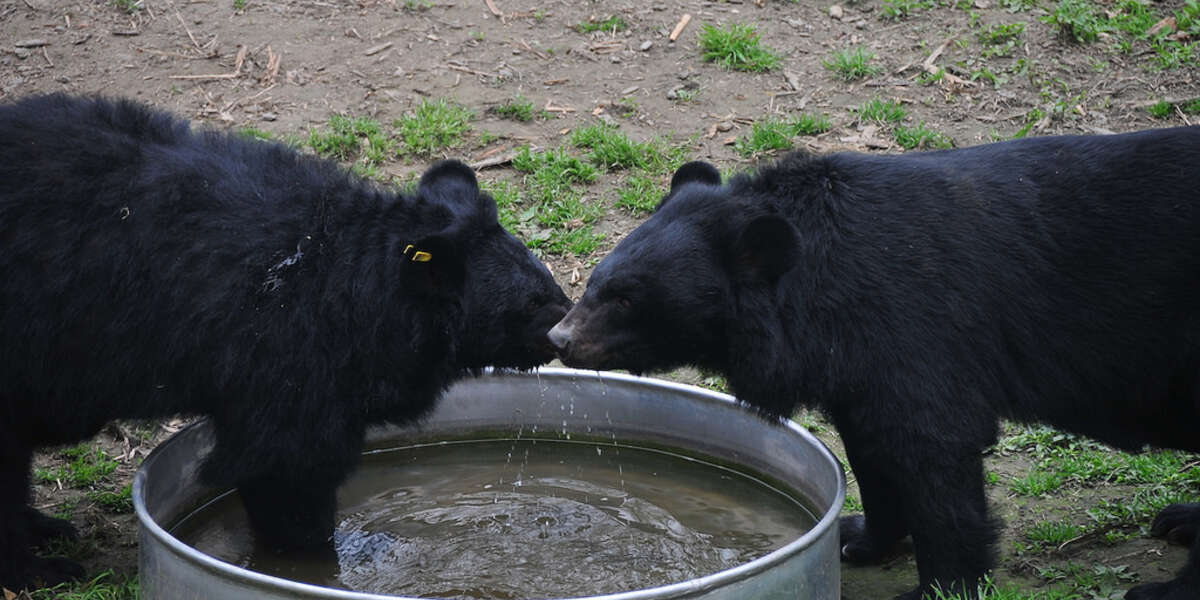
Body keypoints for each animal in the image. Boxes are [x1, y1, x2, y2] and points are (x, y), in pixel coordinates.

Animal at [0, 93, 571, 592]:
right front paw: (311, 567)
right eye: (532, 303)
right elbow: (285, 465)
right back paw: (37, 568)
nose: (565, 332)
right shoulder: (285, 352)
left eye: (548, 282)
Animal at [548, 127, 1200, 600]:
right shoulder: (858, 358)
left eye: (626, 298)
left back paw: (1165, 586)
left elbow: (934, 451)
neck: (811, 289)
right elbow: (873, 450)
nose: (559, 338)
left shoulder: (918, 324)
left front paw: (941, 588)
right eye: (599, 279)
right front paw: (857, 536)